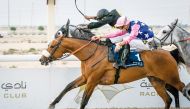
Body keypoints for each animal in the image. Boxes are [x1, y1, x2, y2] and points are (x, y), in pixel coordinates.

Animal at [39, 20, 189, 109]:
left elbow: (84, 100)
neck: (92, 53)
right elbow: (68, 86)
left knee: (183, 89)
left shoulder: (93, 80)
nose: (41, 59)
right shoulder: (86, 78)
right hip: (156, 80)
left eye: (52, 45)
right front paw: (52, 104)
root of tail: (169, 53)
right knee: (168, 99)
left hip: (170, 78)